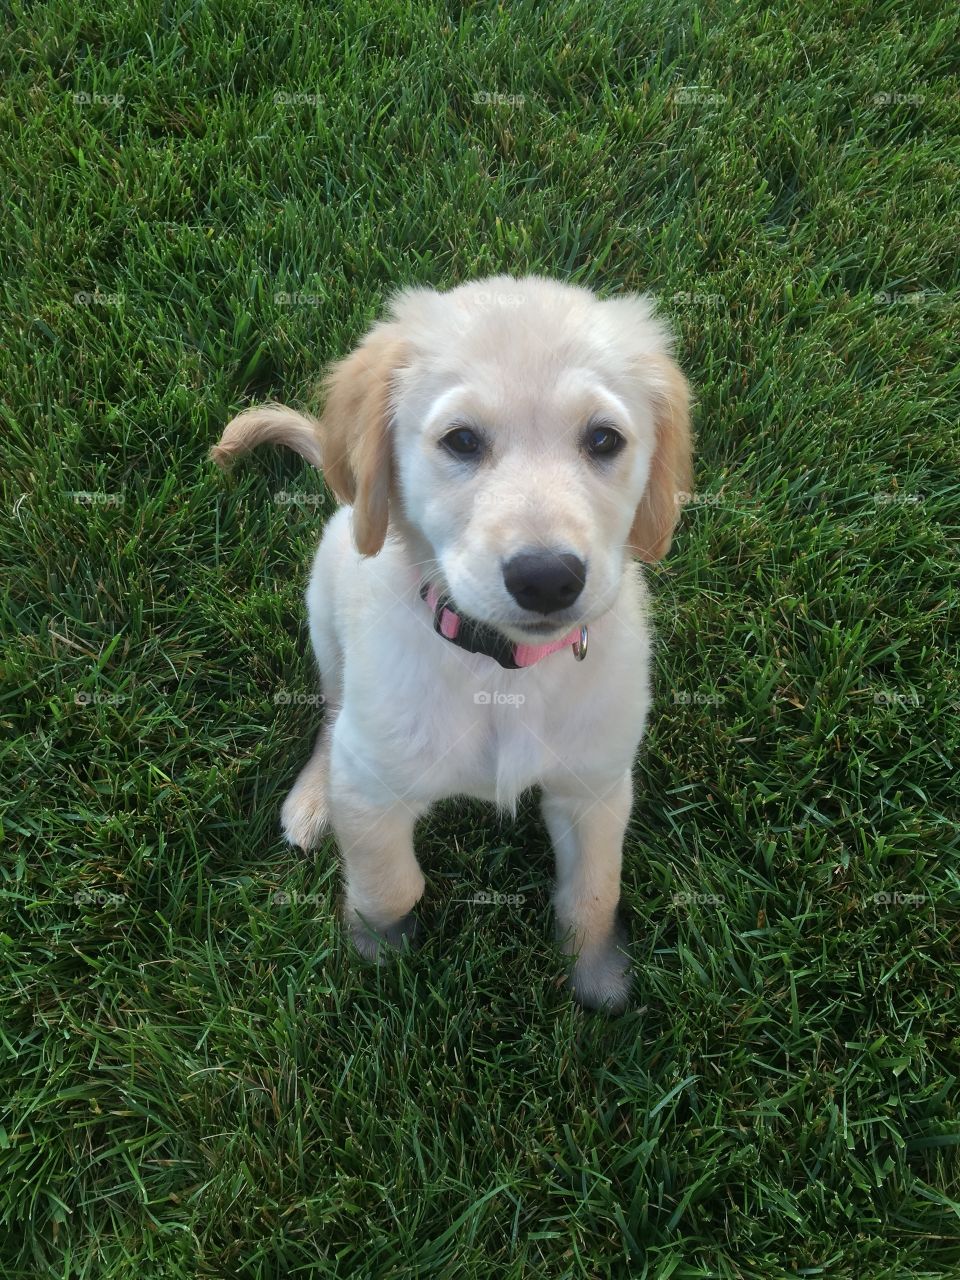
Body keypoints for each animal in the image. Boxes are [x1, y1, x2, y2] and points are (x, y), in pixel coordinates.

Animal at [212, 272, 691, 1008]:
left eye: (604, 440)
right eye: (462, 441)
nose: (547, 579)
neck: (505, 671)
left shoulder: (596, 787)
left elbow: (593, 894)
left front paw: (599, 980)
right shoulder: (372, 783)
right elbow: (389, 883)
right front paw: (376, 948)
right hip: (326, 619)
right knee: (331, 712)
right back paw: (313, 798)